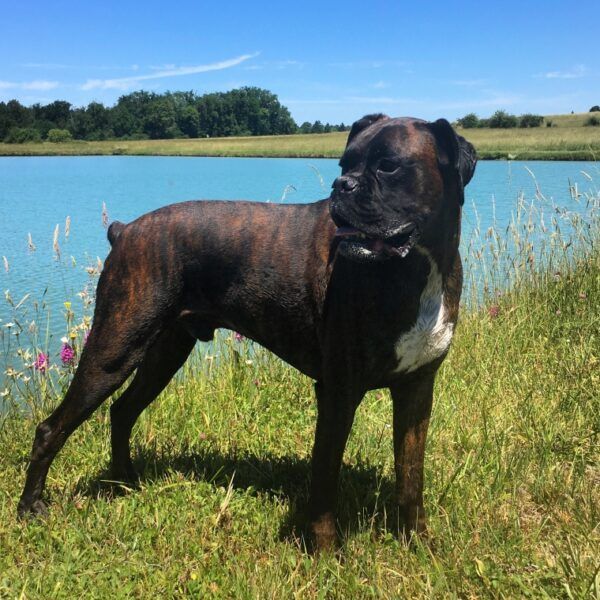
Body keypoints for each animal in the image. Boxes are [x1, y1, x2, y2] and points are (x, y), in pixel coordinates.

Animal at [18, 115, 476, 552]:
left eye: (388, 165)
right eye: (344, 164)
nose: (341, 185)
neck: (418, 267)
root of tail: (126, 229)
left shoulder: (417, 388)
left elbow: (411, 477)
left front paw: (418, 543)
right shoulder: (338, 392)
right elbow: (325, 479)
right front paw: (326, 554)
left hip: (164, 352)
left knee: (122, 411)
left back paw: (125, 480)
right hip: (116, 347)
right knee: (52, 428)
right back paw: (31, 507)